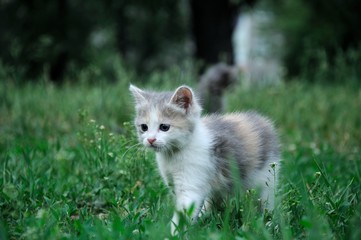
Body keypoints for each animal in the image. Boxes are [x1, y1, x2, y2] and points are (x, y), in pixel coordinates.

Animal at [128, 84, 280, 234]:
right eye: (144, 127)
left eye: (164, 127)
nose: (150, 140)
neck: (174, 154)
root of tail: (262, 121)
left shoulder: (190, 181)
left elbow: (184, 209)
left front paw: (174, 234)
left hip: (266, 177)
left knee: (266, 200)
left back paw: (269, 223)